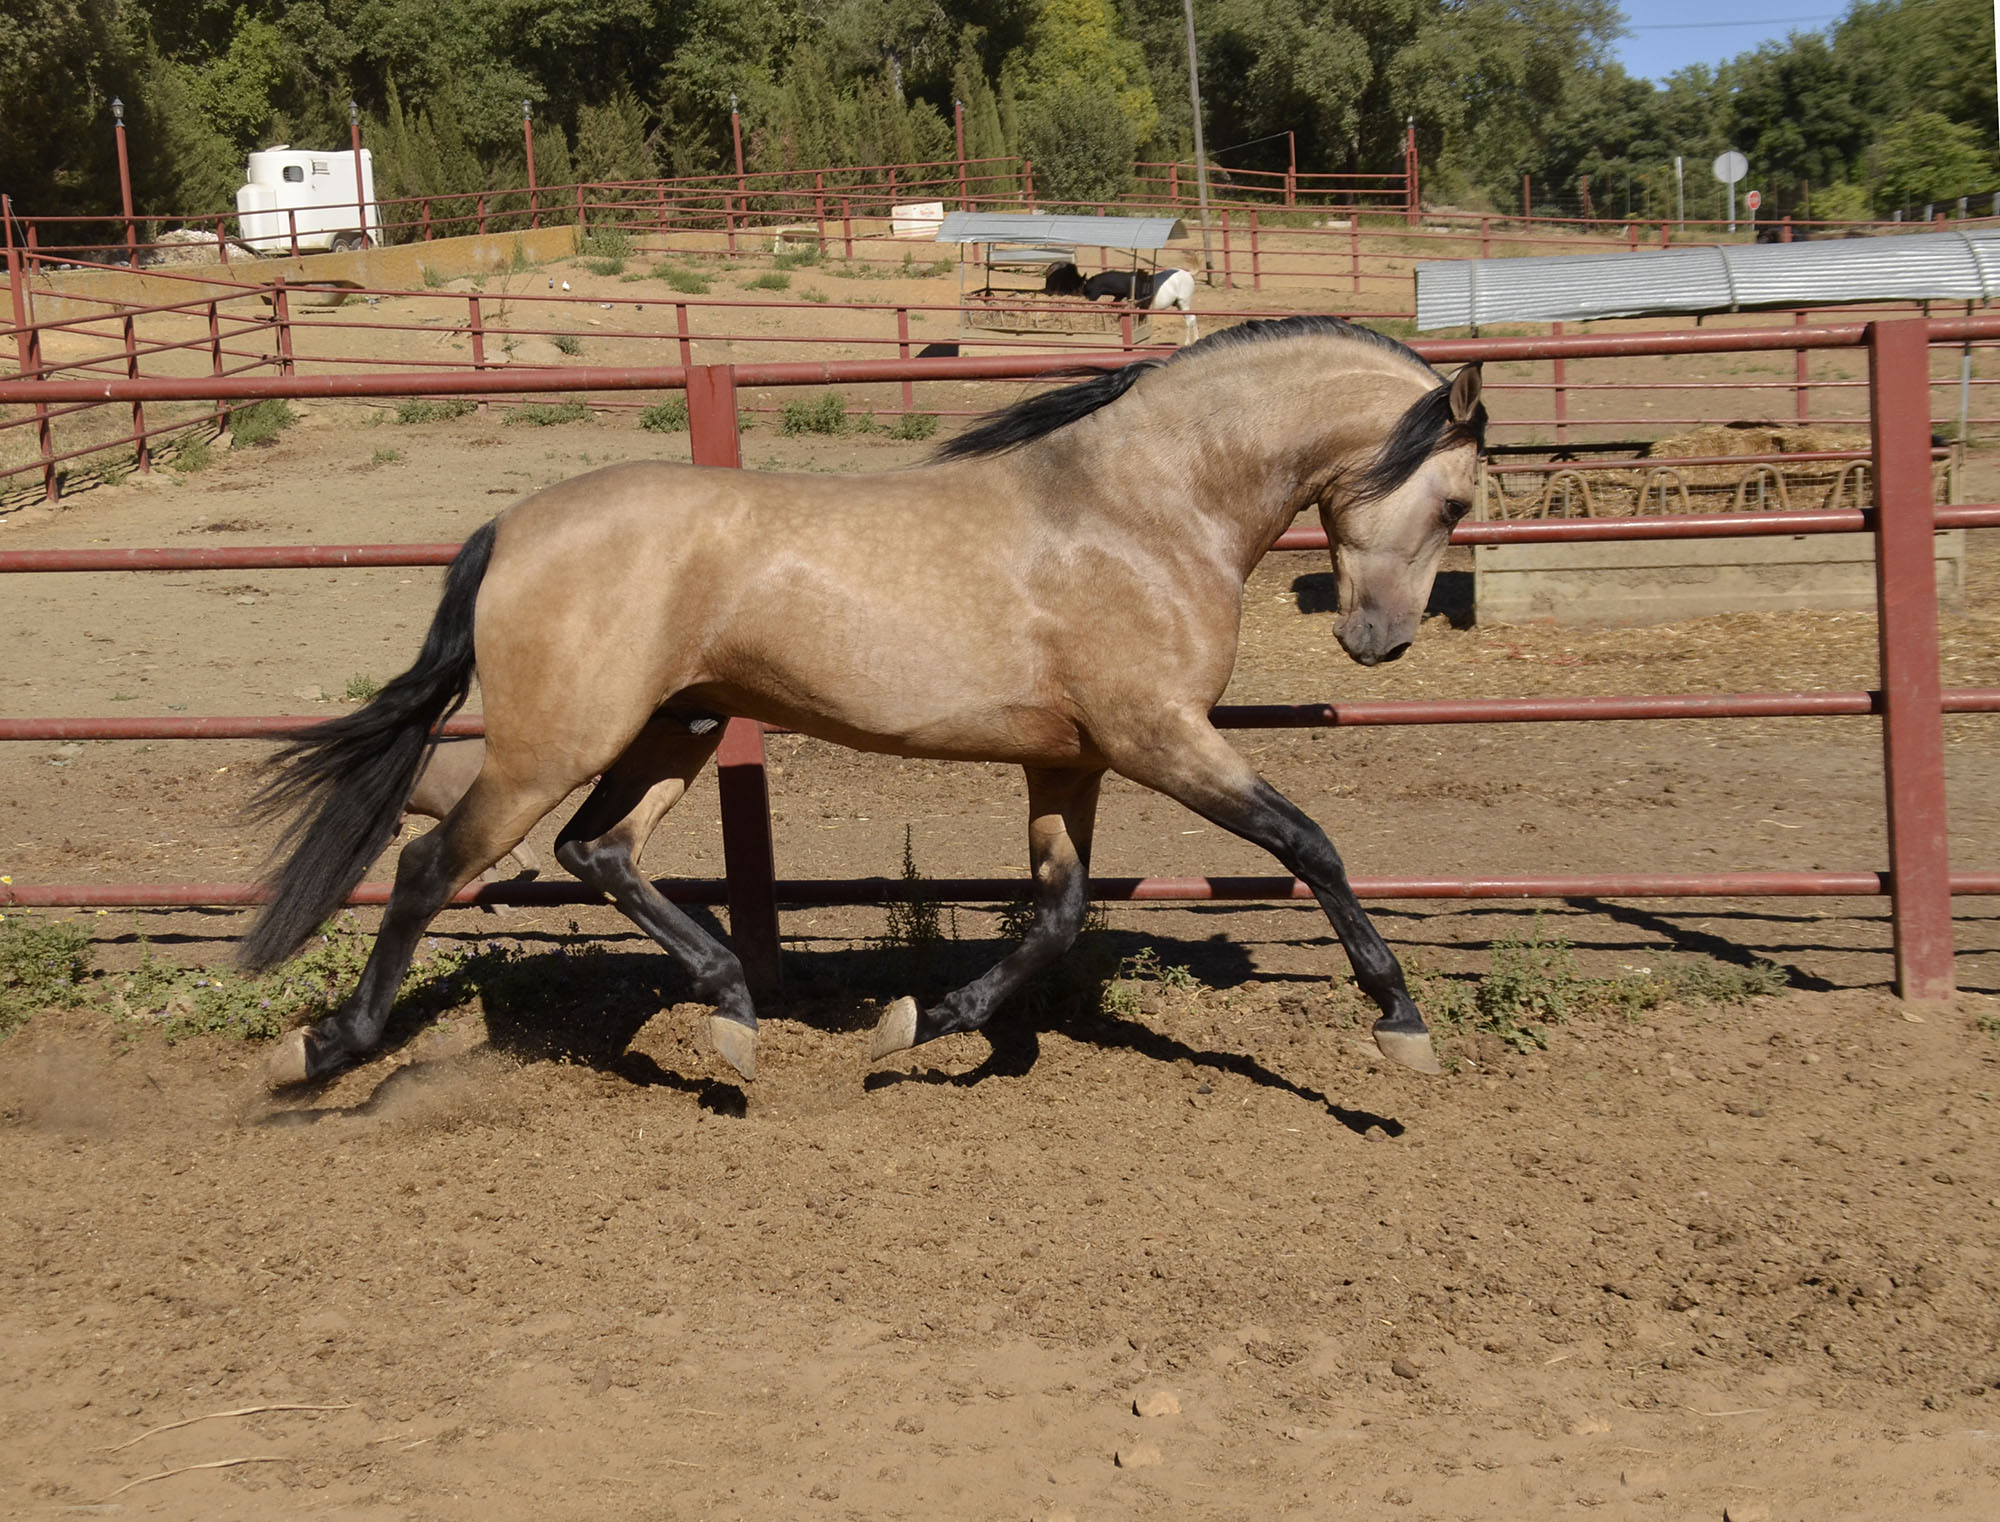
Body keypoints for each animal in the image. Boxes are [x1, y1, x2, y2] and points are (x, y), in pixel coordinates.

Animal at [238, 314, 1488, 1088]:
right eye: (1459, 501)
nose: (1376, 640)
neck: (1139, 510)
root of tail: (508, 527)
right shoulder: (1158, 737)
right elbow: (1307, 843)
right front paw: (1398, 1022)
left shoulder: (1069, 759)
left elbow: (1055, 913)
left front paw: (915, 1024)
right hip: (553, 745)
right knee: (430, 864)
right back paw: (328, 1049)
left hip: (674, 731)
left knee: (598, 851)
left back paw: (732, 1015)